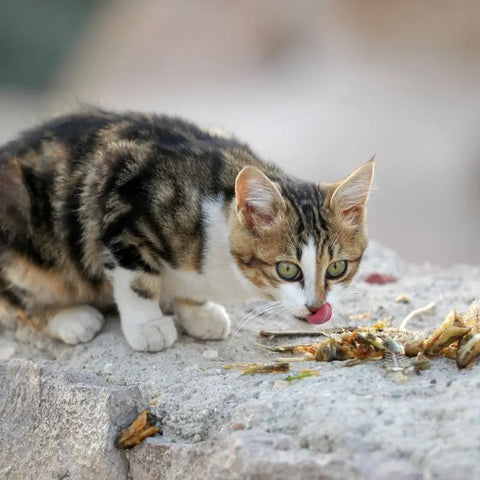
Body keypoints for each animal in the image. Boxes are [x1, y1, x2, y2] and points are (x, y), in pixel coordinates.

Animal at [0, 110, 376, 354]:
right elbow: (136, 279)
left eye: (337, 268)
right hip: (23, 232)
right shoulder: (122, 195)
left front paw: (197, 309)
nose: (317, 307)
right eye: (287, 269)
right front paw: (147, 324)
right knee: (19, 301)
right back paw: (70, 318)